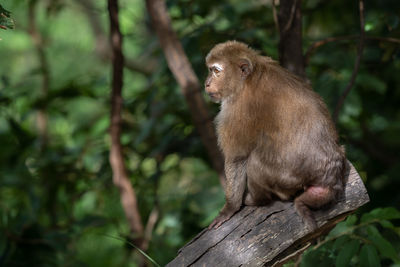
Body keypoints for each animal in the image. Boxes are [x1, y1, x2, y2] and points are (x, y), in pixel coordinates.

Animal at [203, 40, 346, 231]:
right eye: (210, 70)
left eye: (216, 71)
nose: (207, 83)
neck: (248, 77)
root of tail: (329, 177)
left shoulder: (236, 109)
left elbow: (237, 157)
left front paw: (229, 208)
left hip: (285, 180)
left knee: (254, 161)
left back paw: (257, 200)